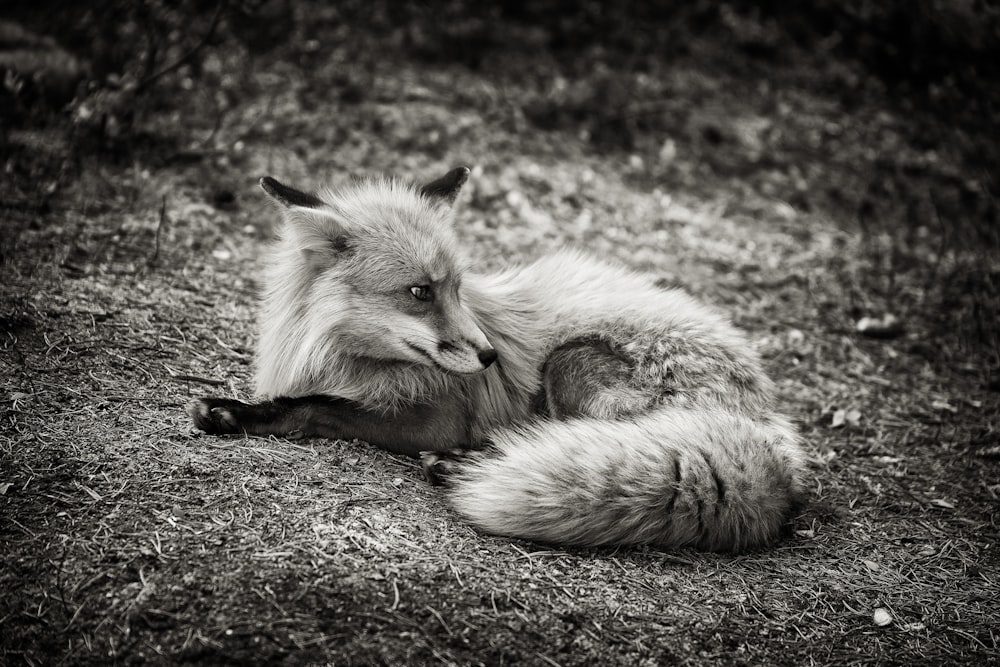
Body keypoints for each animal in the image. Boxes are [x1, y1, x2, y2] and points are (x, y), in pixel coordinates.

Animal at [189, 167, 812, 552]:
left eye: (458, 288)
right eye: (420, 292)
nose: (490, 356)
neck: (341, 356)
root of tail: (769, 426)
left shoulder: (437, 415)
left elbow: (319, 407)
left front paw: (246, 414)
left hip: (571, 362)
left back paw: (466, 464)